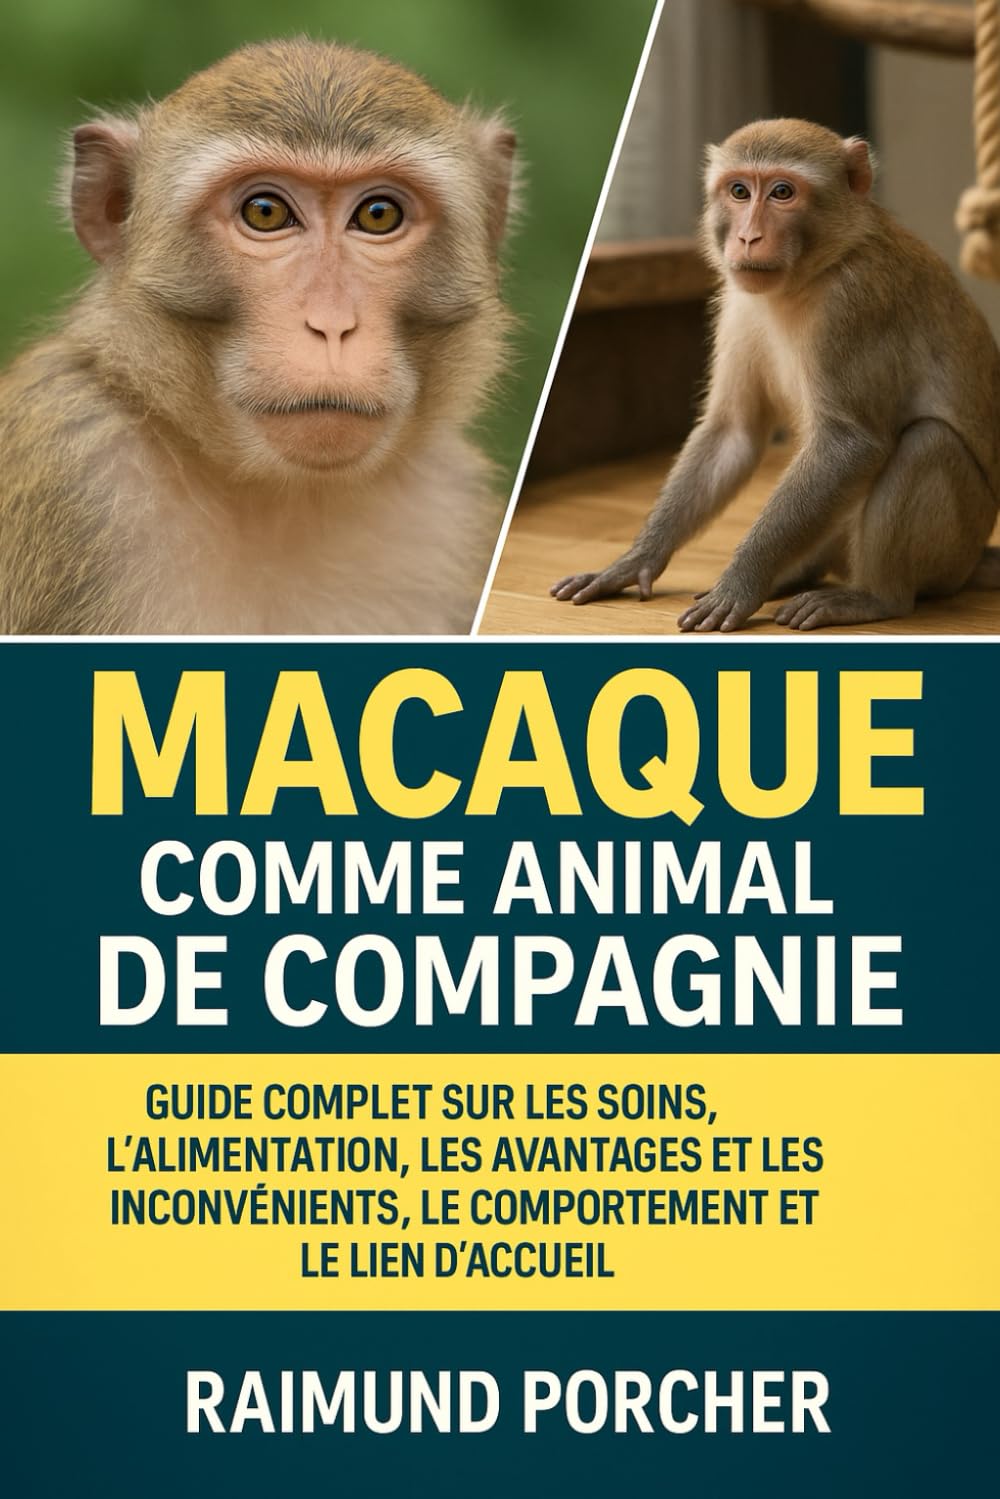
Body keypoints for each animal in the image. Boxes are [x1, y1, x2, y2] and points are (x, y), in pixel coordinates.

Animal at [552, 118, 1000, 631]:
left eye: (783, 192)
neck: (817, 270)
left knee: (927, 443)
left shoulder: (855, 303)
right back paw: (797, 575)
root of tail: (974, 557)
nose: (748, 238)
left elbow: (850, 444)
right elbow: (733, 432)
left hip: (952, 552)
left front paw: (740, 584)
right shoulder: (736, 302)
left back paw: (873, 597)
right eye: (740, 191)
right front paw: (634, 561)